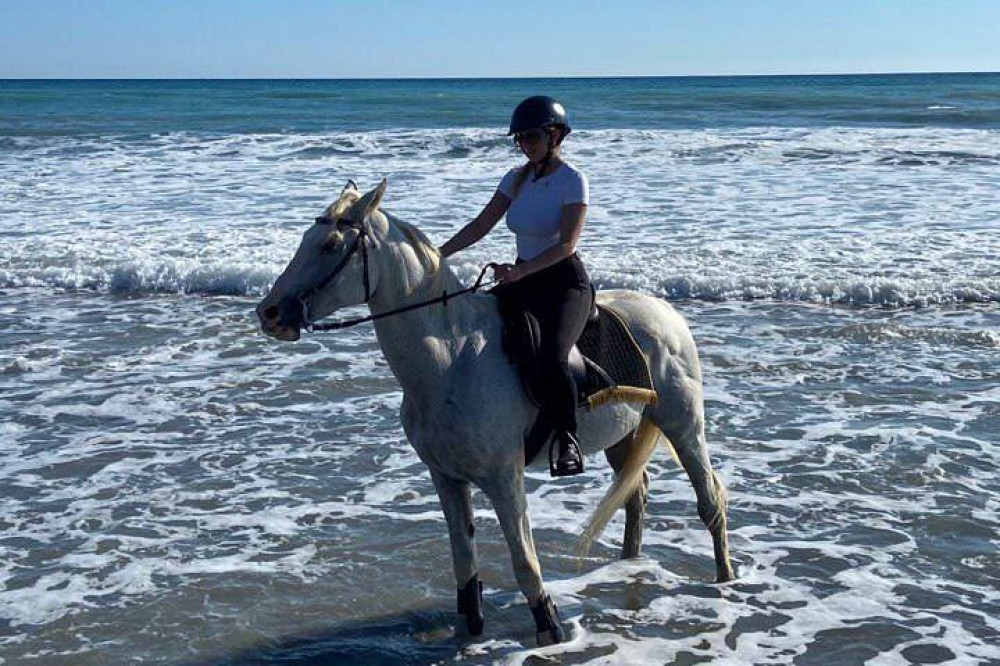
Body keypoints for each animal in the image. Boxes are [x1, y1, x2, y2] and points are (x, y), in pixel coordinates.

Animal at [256, 178, 736, 644]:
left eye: (330, 244)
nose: (270, 313)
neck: (452, 359)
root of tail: (666, 311)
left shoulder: (505, 478)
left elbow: (523, 560)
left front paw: (549, 627)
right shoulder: (446, 478)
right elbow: (463, 560)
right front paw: (469, 629)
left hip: (682, 422)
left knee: (709, 497)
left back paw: (724, 577)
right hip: (622, 433)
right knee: (635, 495)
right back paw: (628, 566)